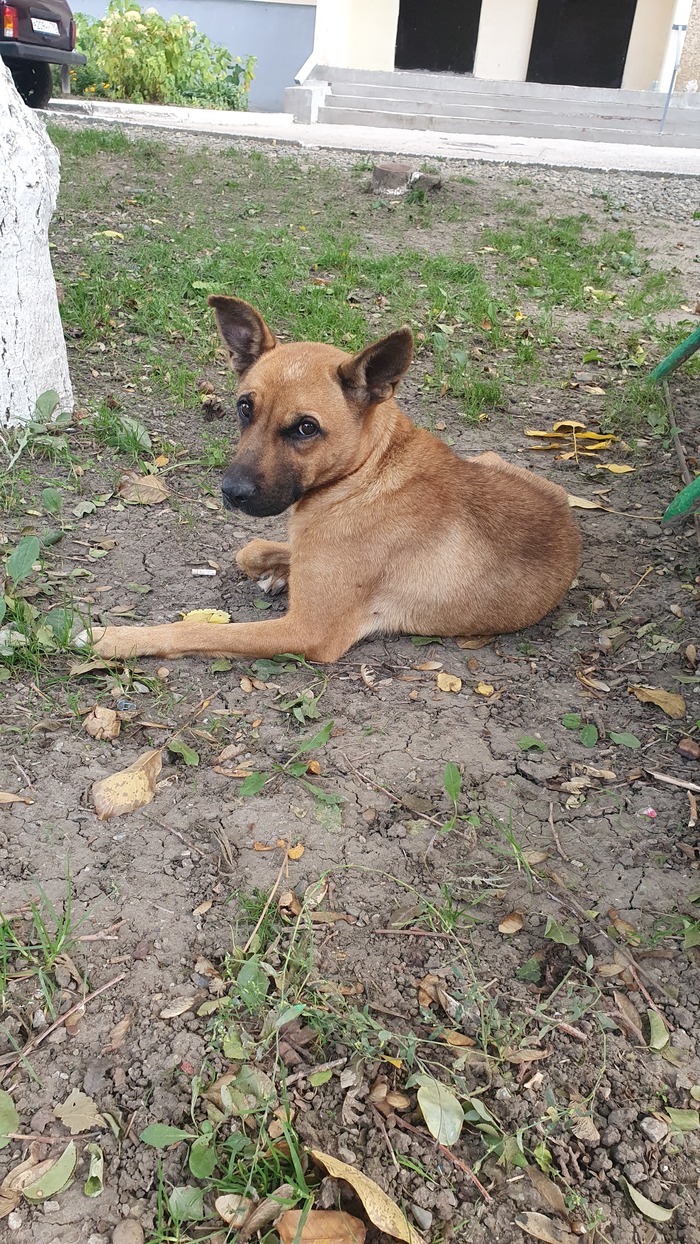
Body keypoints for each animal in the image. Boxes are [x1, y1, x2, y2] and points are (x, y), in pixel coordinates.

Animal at [82, 297, 584, 666]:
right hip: (487, 458)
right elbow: (252, 549)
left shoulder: (306, 631)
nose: (232, 494)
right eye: (244, 407)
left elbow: (193, 628)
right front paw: (277, 572)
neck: (365, 475)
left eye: (306, 428)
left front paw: (114, 637)